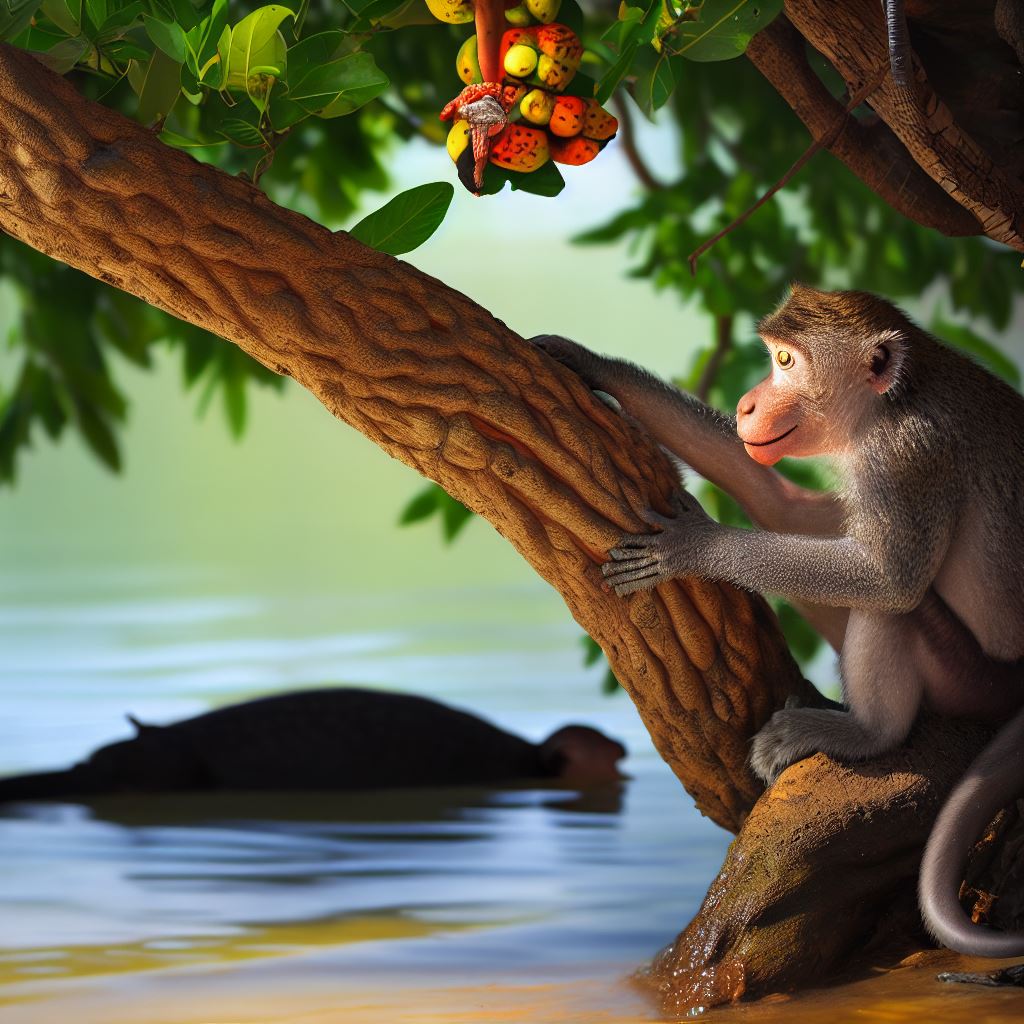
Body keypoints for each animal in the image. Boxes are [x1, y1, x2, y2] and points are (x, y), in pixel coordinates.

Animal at [532, 284, 1024, 957]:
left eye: (786, 362)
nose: (746, 402)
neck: (891, 405)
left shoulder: (906, 457)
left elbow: (888, 580)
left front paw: (694, 548)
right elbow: (781, 503)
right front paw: (595, 365)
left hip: (974, 678)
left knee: (893, 605)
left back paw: (867, 732)